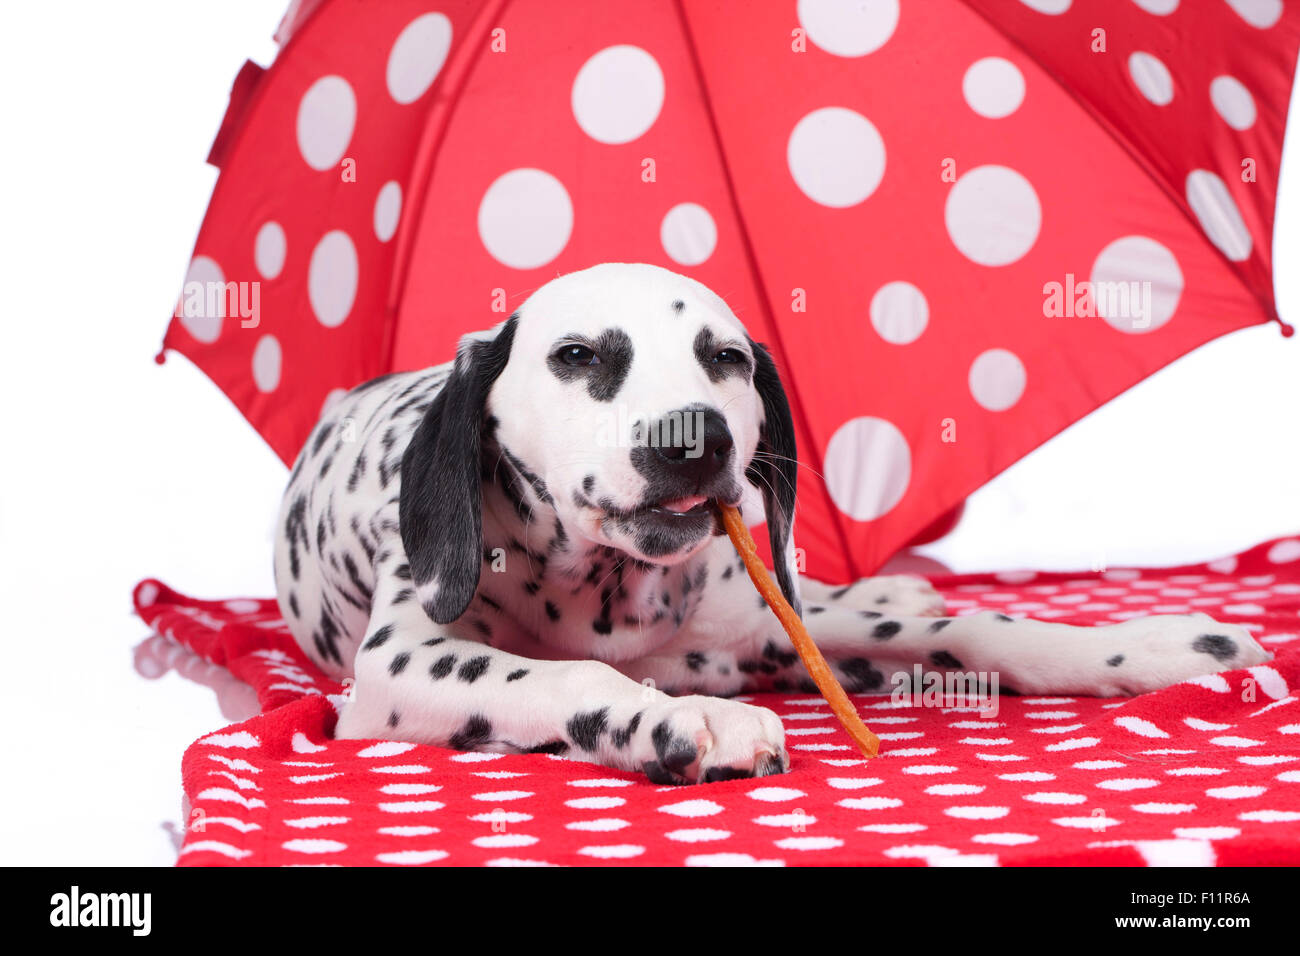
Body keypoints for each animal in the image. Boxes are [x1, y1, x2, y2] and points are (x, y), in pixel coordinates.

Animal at [274, 261, 1268, 785]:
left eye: (725, 358)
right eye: (577, 355)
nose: (694, 439)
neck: (610, 597)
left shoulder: (781, 631)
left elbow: (980, 626)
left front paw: (1156, 646)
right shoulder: (401, 666)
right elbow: (563, 677)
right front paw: (681, 720)